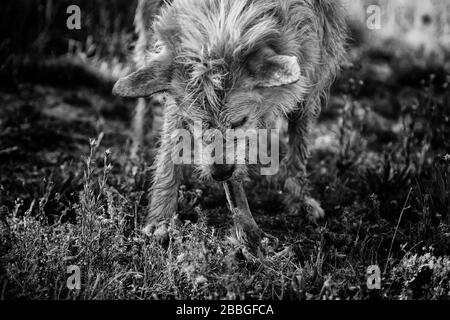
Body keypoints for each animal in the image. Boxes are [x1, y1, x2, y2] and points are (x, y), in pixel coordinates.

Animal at [112, 0, 348, 244]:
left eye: (240, 121)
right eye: (193, 122)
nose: (220, 173)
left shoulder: (315, 61)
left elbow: (298, 140)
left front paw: (297, 197)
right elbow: (170, 147)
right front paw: (161, 217)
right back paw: (137, 153)